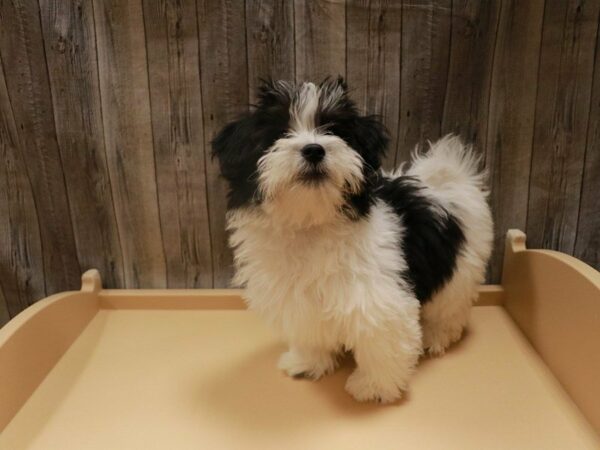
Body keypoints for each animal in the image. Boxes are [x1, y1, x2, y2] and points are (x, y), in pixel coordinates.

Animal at [211, 78, 492, 404]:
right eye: (278, 134)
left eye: (334, 130)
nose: (314, 149)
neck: (311, 223)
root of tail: (447, 177)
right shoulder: (298, 298)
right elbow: (309, 331)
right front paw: (308, 362)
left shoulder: (377, 298)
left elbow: (382, 342)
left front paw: (375, 386)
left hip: (462, 266)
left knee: (449, 305)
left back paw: (437, 336)